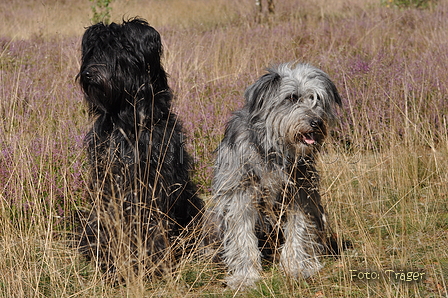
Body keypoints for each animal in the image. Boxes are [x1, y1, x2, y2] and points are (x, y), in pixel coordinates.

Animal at [77, 18, 203, 280]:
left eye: (117, 52)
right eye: (93, 51)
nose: (88, 73)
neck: (127, 123)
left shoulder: (153, 183)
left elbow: (152, 226)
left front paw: (155, 265)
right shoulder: (108, 181)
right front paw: (109, 261)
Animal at [207, 62, 344, 288]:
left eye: (316, 99)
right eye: (291, 98)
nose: (316, 122)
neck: (274, 150)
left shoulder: (301, 194)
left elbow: (298, 230)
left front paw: (296, 267)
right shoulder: (239, 194)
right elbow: (242, 236)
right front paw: (245, 276)